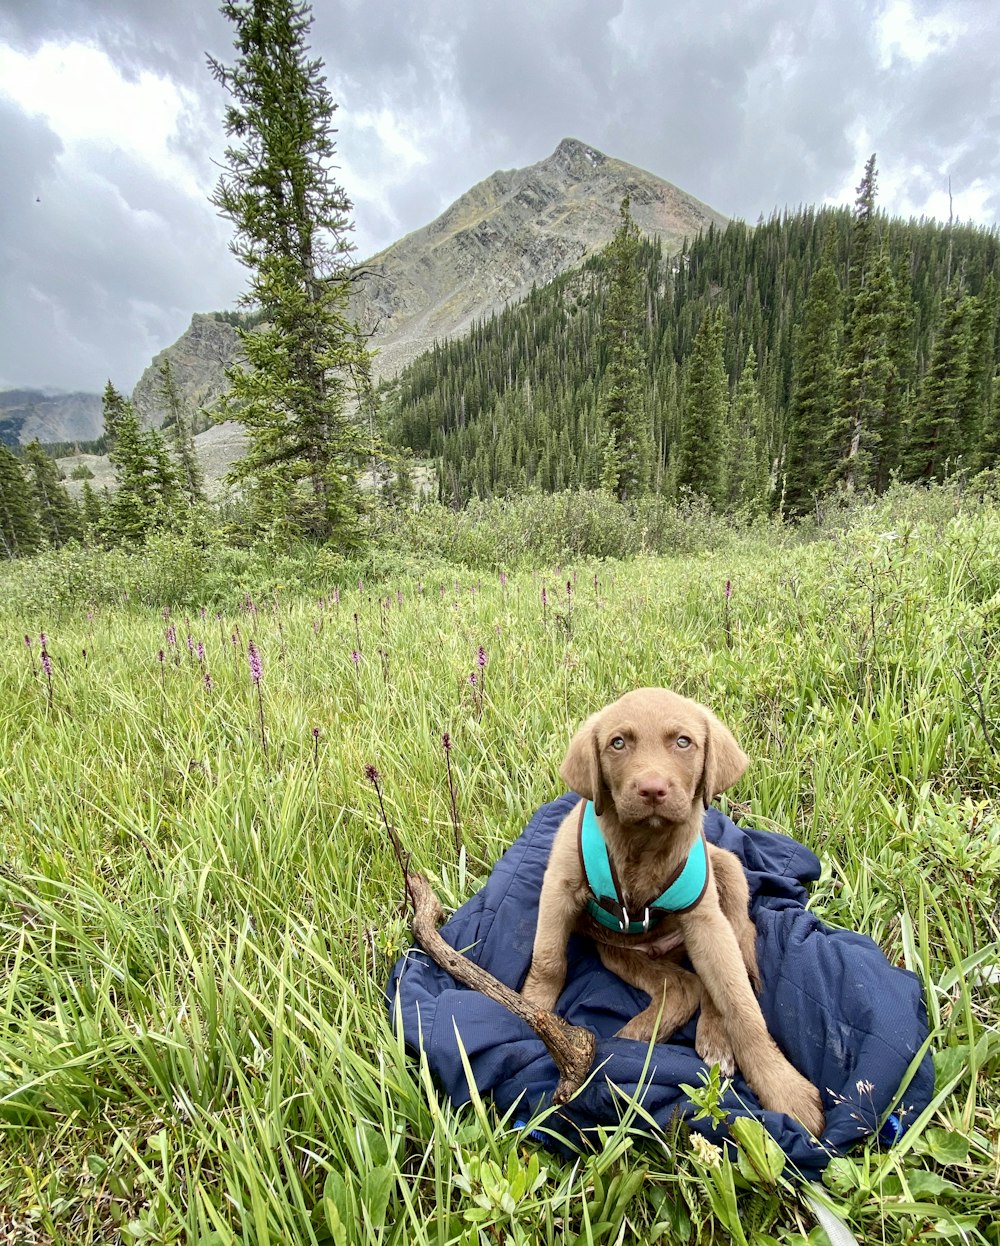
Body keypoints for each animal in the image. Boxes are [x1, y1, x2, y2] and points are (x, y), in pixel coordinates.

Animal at [520, 692, 826, 1141]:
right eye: (617, 743)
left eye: (683, 742)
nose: (652, 789)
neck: (644, 844)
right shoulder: (559, 887)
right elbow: (548, 961)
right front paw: (531, 1010)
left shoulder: (707, 924)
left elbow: (741, 1005)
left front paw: (782, 1086)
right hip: (621, 953)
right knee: (684, 988)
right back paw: (635, 1042)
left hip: (726, 877)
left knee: (720, 977)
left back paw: (711, 1041)